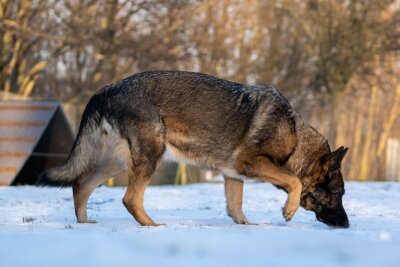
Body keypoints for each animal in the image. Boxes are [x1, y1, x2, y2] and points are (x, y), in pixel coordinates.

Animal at [37, 70, 350, 228]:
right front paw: (289, 209)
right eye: (337, 195)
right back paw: (151, 225)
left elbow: (235, 206)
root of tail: (106, 90)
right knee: (129, 198)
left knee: (81, 184)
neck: (295, 136)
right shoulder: (251, 163)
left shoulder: (233, 174)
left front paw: (247, 227)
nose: (347, 225)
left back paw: (84, 222)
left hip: (117, 161)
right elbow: (294, 180)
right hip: (151, 155)